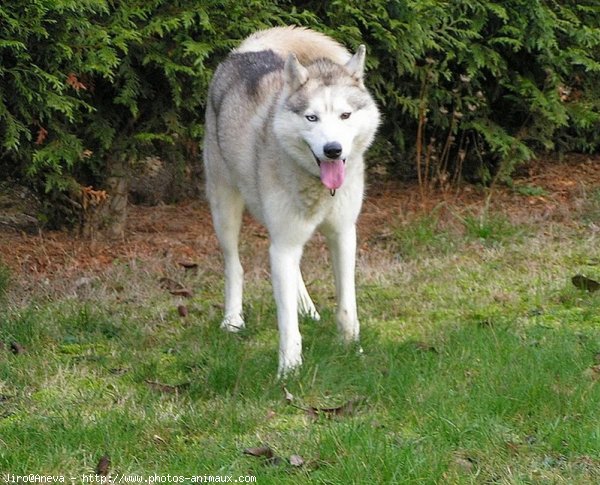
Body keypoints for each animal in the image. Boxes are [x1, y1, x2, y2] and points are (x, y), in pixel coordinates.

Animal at [202, 25, 380, 374]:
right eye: (311, 118)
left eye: (345, 115)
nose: (333, 150)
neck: (320, 188)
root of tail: (245, 52)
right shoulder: (283, 243)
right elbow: (286, 323)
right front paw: (289, 368)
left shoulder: (343, 234)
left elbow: (347, 304)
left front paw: (352, 348)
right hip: (225, 210)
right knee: (234, 265)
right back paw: (233, 320)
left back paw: (306, 308)